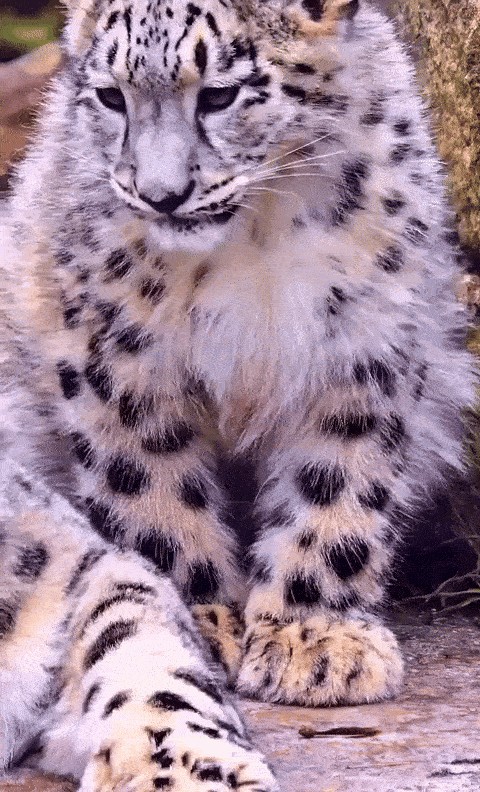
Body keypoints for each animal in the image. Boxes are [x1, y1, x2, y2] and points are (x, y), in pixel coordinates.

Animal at [0, 0, 475, 788]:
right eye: (111, 97)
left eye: (219, 94)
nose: (161, 194)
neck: (256, 239)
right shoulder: (121, 350)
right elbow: (151, 486)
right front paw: (208, 615)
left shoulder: (363, 340)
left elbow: (339, 478)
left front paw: (315, 636)